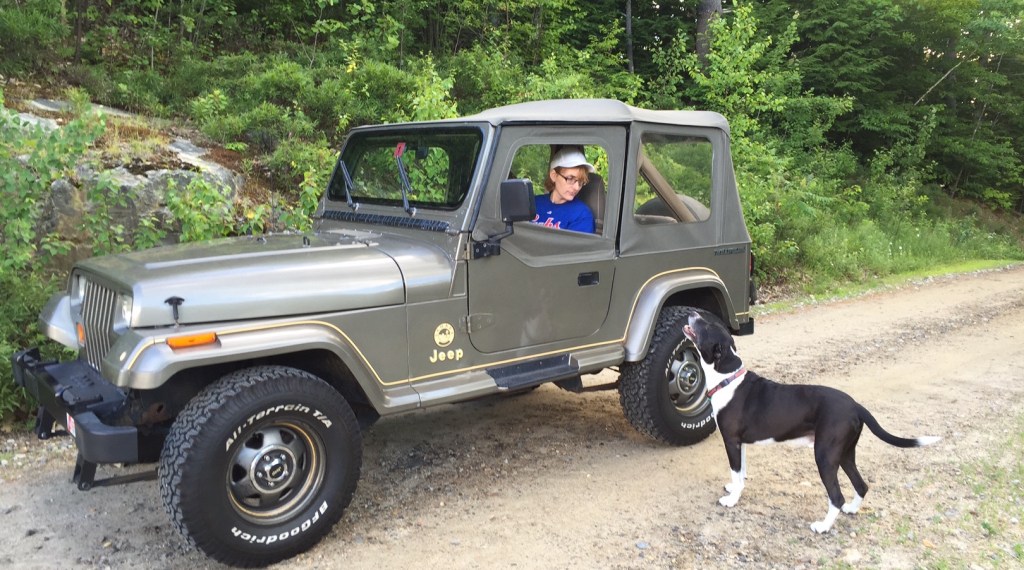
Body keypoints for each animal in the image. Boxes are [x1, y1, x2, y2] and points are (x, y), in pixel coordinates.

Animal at [684, 309, 937, 532]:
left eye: (705, 326)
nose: (693, 313)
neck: (726, 378)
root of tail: (855, 405)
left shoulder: (731, 441)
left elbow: (736, 471)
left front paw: (731, 499)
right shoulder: (741, 443)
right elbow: (741, 471)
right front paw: (734, 488)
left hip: (825, 456)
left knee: (836, 497)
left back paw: (823, 527)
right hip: (845, 454)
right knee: (861, 485)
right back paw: (852, 509)